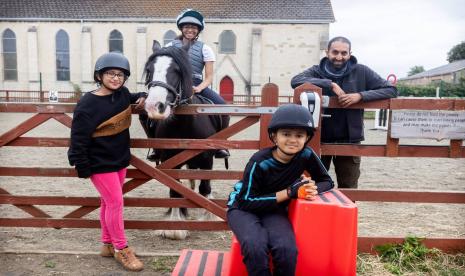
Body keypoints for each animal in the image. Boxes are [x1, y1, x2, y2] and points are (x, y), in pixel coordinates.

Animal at [142, 45, 227, 239]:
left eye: (176, 70)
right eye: (149, 70)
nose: (154, 107)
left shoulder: (206, 158)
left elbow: (205, 187)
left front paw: (209, 217)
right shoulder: (169, 159)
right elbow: (175, 189)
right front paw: (175, 226)